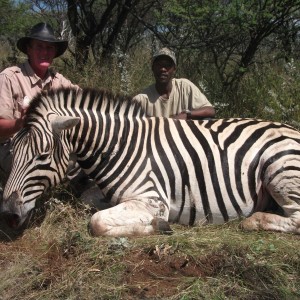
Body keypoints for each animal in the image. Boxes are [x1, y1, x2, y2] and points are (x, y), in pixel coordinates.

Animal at [0, 87, 300, 237]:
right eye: (12, 153)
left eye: (42, 156)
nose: (8, 215)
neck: (121, 146)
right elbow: (90, 201)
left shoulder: (154, 200)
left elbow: (97, 222)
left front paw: (159, 225)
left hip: (281, 170)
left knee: (294, 219)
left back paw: (253, 220)